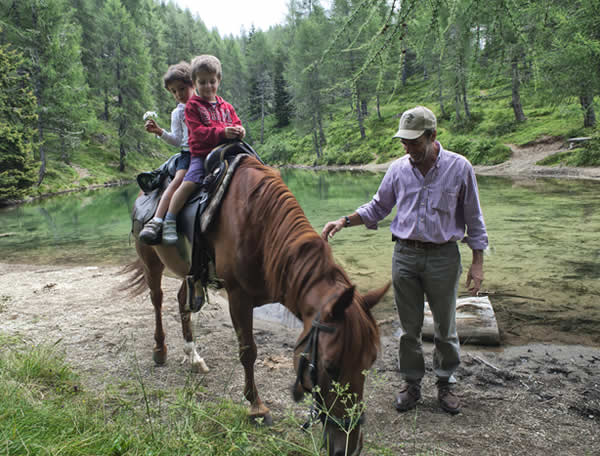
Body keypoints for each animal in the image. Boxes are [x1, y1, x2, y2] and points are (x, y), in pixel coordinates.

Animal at [126, 155, 390, 454]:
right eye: (330, 366)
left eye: (370, 361)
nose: (350, 445)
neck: (261, 226)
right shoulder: (238, 297)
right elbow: (248, 351)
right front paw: (256, 408)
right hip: (151, 260)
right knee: (157, 299)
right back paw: (160, 349)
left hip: (187, 270)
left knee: (182, 301)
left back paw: (193, 357)